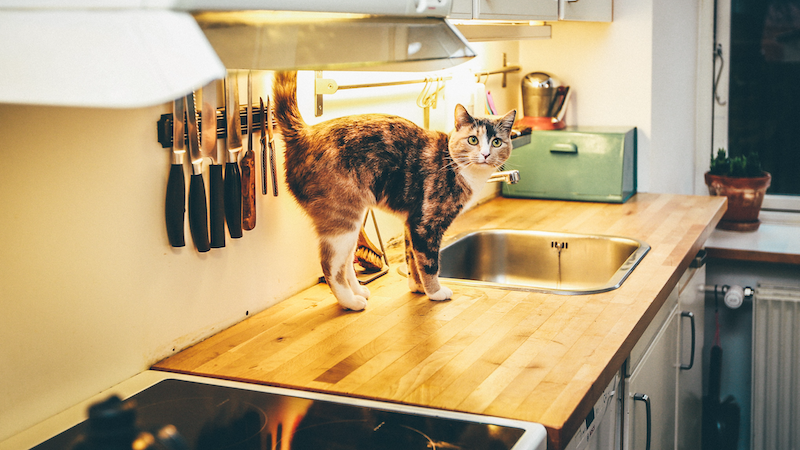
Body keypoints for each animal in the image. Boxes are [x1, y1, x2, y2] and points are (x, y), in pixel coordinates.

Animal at [272, 71, 516, 310]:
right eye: (473, 140)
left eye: (496, 142)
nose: (485, 154)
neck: (457, 167)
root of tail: (304, 133)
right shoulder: (426, 225)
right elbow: (429, 264)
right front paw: (435, 292)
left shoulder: (412, 222)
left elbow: (412, 259)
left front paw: (418, 288)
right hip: (342, 218)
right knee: (330, 266)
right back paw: (351, 302)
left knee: (346, 262)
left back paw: (358, 291)